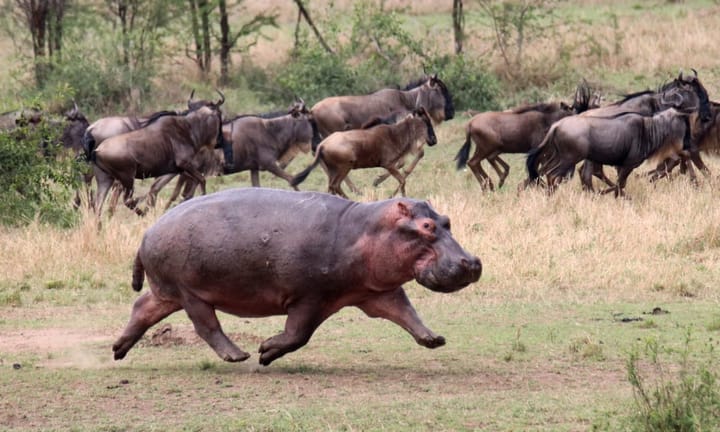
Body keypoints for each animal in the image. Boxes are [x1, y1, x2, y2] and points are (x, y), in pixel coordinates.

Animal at [112, 188, 482, 366]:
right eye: (427, 226)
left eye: (446, 220)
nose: (472, 262)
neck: (367, 229)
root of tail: (147, 232)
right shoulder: (310, 297)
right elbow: (298, 334)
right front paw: (265, 351)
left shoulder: (376, 290)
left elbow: (406, 312)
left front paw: (434, 339)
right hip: (191, 292)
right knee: (207, 325)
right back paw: (238, 356)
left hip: (168, 291)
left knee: (142, 307)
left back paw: (118, 349)